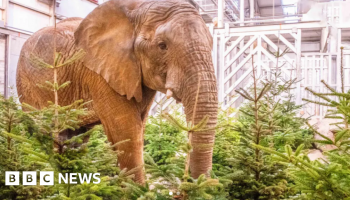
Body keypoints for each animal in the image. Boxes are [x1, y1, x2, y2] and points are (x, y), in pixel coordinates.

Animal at [17, 0, 219, 183]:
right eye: (162, 45)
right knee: (47, 130)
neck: (136, 10)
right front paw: (138, 191)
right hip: (29, 86)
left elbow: (139, 127)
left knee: (75, 137)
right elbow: (127, 132)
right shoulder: (101, 75)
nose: (193, 184)